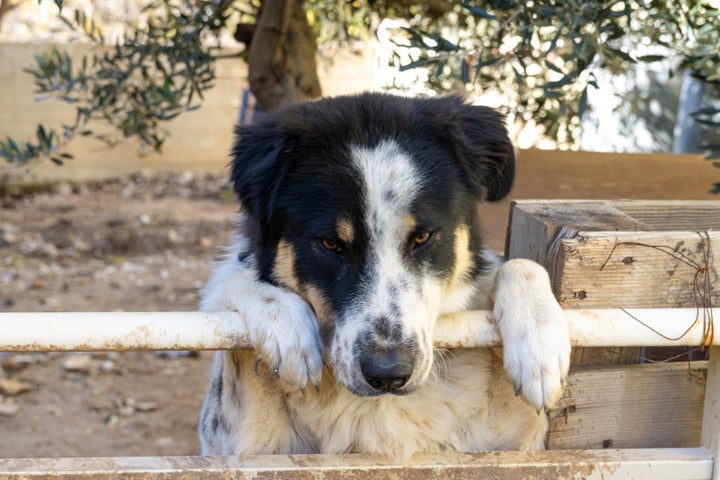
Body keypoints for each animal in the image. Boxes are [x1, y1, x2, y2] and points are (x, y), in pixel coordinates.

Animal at [200, 92, 572, 460]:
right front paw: (283, 322)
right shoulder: (240, 447)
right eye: (331, 243)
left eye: (423, 237)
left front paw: (539, 343)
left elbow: (516, 264)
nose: (388, 374)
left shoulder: (521, 444)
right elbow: (234, 279)